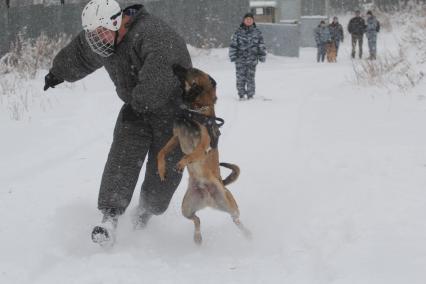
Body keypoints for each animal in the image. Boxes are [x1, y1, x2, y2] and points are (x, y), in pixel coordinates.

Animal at [156, 64, 250, 244]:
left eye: (192, 69)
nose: (174, 65)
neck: (195, 110)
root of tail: (208, 197)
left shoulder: (203, 146)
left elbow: (189, 155)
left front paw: (180, 163)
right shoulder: (176, 137)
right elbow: (161, 152)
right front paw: (161, 169)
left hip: (229, 203)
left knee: (236, 219)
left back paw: (248, 234)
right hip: (186, 208)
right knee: (197, 219)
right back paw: (197, 237)